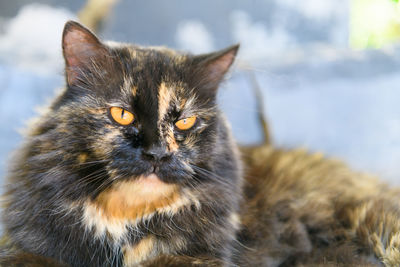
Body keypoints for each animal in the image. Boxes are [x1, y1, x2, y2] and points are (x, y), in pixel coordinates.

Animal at [0, 19, 400, 266]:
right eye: (123, 115)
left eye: (185, 121)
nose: (158, 153)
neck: (126, 226)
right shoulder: (22, 248)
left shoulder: (199, 257)